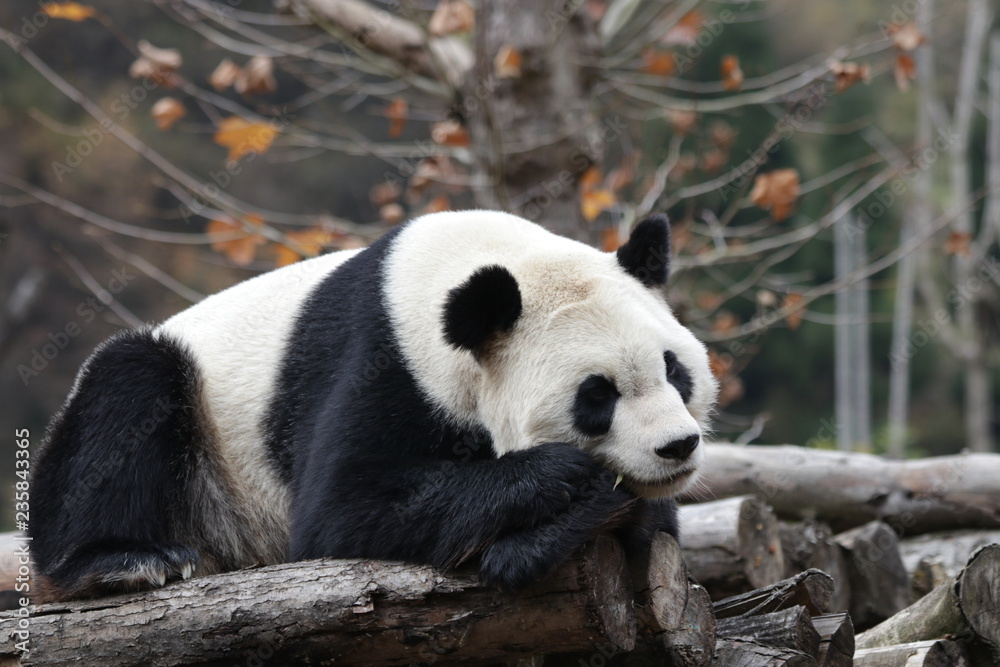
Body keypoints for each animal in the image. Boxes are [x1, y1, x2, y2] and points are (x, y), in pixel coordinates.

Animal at [27, 211, 716, 604]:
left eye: (673, 370)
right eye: (597, 395)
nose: (677, 446)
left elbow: (651, 525)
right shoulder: (384, 360)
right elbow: (345, 512)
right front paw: (561, 486)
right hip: (207, 447)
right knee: (127, 390)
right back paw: (122, 561)